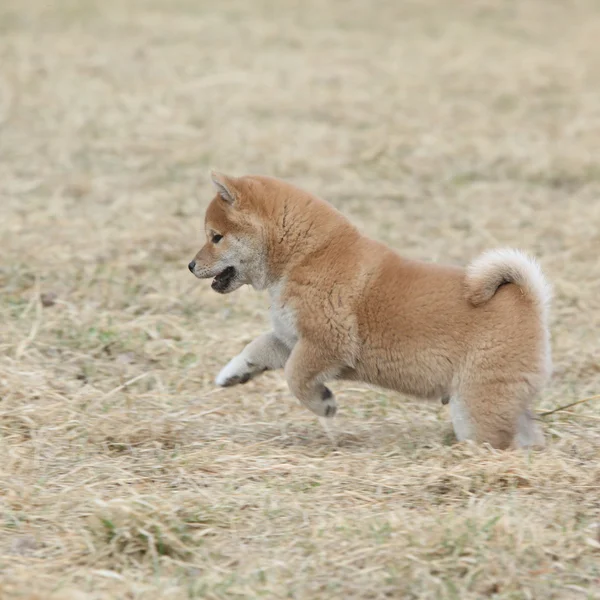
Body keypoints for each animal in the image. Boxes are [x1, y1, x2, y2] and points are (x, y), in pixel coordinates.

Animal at [190, 171, 552, 448]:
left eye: (216, 237)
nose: (191, 265)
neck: (307, 255)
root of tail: (527, 300)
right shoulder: (292, 338)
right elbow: (259, 347)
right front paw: (234, 372)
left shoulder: (326, 342)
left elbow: (295, 377)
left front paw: (323, 403)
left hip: (476, 402)